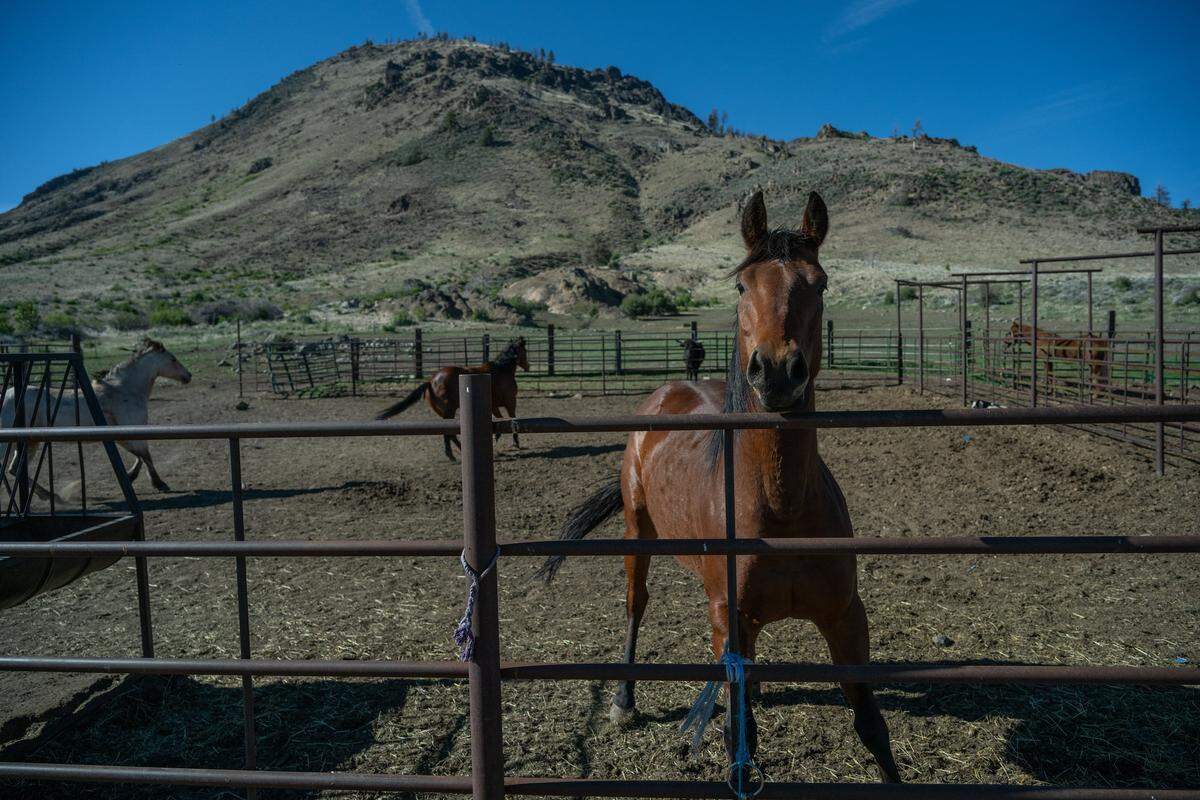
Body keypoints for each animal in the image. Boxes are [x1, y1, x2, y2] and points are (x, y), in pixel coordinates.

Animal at [2, 338, 193, 498]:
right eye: (173, 359)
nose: (188, 376)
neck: (125, 390)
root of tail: (5, 396)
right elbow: (146, 456)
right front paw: (159, 483)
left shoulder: (124, 434)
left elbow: (140, 457)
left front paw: (131, 477)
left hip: (30, 442)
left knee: (14, 468)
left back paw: (48, 495)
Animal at [375, 337, 529, 460]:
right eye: (525, 351)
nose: (527, 366)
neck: (502, 370)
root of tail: (431, 381)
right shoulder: (510, 402)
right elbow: (512, 419)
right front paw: (515, 443)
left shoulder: (494, 406)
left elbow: (499, 419)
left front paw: (497, 436)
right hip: (449, 410)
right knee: (449, 433)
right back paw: (455, 454)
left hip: (444, 413)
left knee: (449, 432)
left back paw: (454, 454)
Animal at [537, 191, 901, 783]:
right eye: (741, 286)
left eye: (820, 283)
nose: (776, 371)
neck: (782, 508)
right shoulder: (733, 623)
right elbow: (740, 738)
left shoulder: (847, 618)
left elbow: (872, 727)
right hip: (638, 533)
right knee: (636, 603)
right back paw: (623, 700)